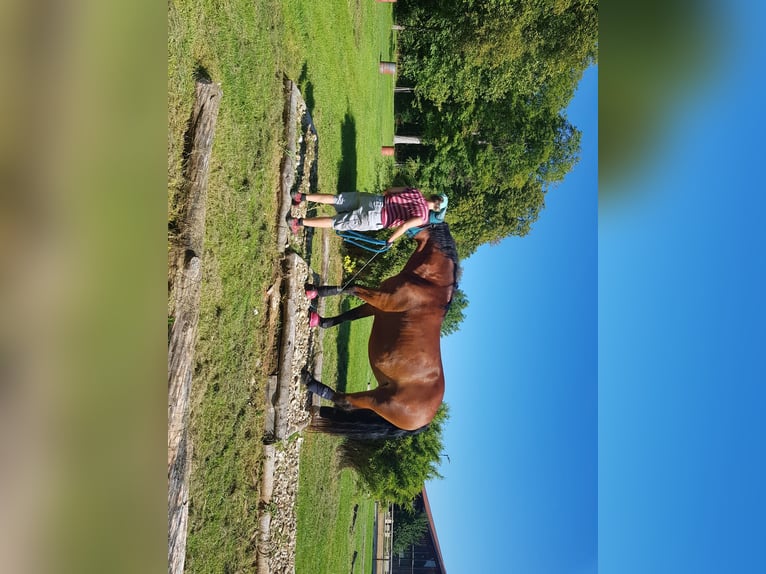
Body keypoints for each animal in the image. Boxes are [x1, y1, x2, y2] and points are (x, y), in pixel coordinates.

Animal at [302, 223, 460, 438]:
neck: (428, 285)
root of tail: (425, 420)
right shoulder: (376, 307)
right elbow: (346, 315)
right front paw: (318, 318)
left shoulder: (380, 300)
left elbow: (351, 287)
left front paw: (316, 290)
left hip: (377, 401)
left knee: (345, 402)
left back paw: (309, 381)